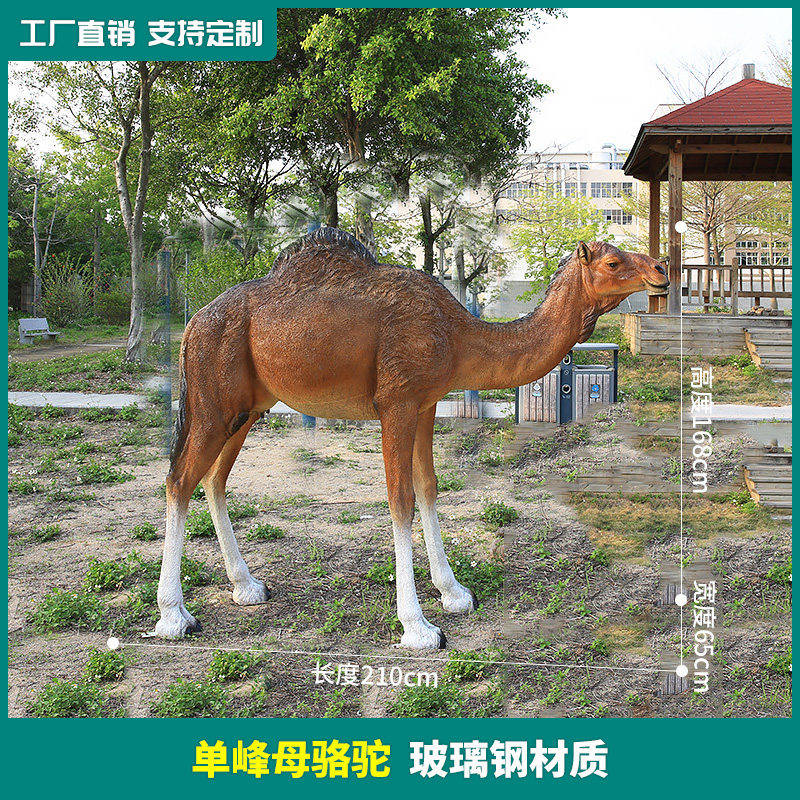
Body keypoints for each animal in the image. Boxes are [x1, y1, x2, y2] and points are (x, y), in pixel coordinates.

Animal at [156, 228, 668, 648]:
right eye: (613, 262)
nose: (662, 270)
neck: (456, 335)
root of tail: (192, 324)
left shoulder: (425, 405)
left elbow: (428, 488)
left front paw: (455, 593)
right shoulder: (397, 402)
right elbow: (399, 496)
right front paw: (419, 627)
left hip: (247, 407)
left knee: (214, 479)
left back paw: (247, 587)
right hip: (212, 401)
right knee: (180, 479)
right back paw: (174, 617)